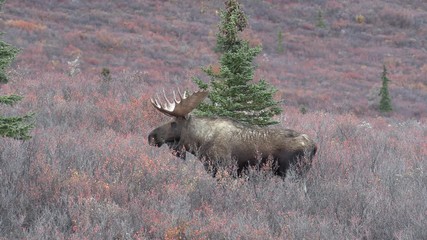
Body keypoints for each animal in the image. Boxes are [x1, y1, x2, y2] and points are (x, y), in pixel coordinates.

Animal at [148, 90, 318, 178]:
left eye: (173, 123)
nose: (151, 136)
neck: (200, 142)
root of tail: (314, 146)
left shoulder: (224, 169)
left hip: (294, 172)